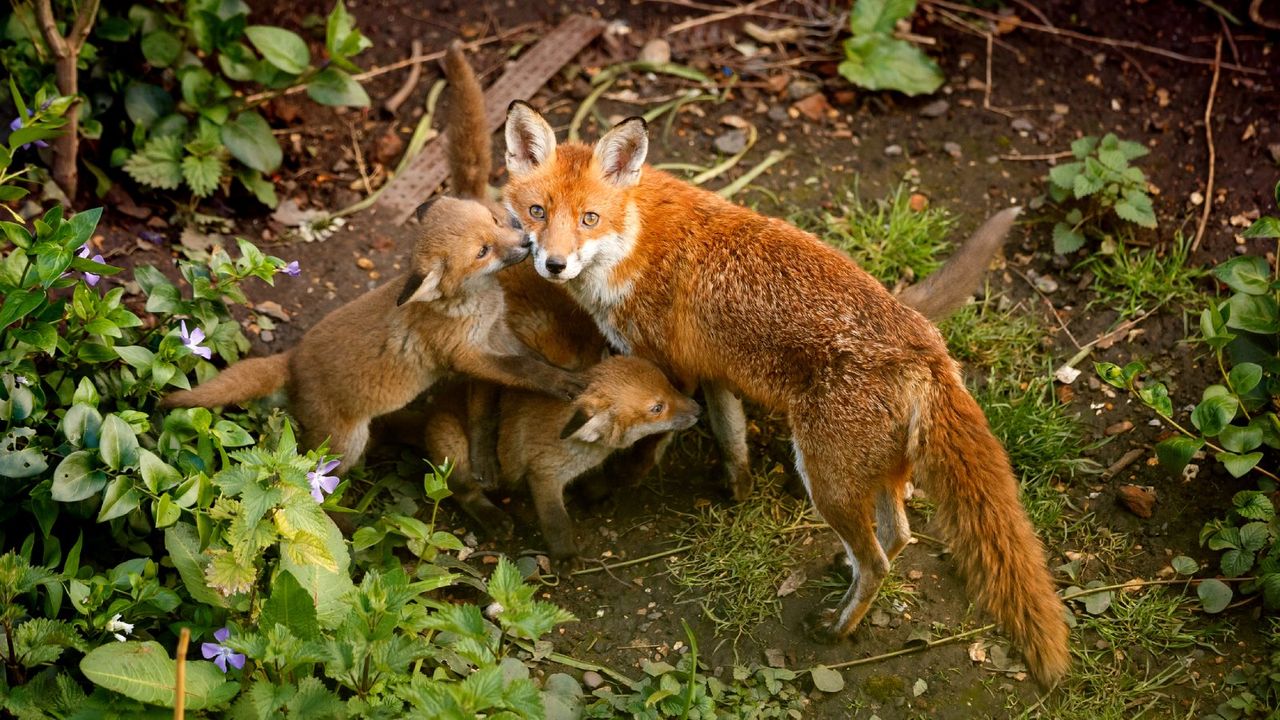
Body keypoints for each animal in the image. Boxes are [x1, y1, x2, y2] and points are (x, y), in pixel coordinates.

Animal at [499, 102, 1070, 681]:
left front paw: (613, 485)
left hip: (826, 479)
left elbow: (653, 439)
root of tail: (926, 346)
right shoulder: (717, 372)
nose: (553, 264)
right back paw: (846, 569)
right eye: (537, 211)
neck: (635, 238)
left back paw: (839, 628)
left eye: (589, 219)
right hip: (873, 470)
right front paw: (737, 491)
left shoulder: (670, 368)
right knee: (899, 534)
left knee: (878, 561)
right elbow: (731, 439)